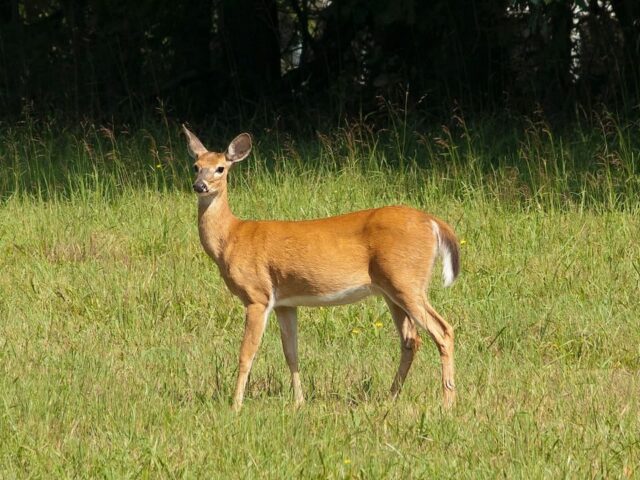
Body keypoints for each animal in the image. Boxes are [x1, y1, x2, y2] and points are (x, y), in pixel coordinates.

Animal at [182, 125, 462, 410]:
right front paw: (299, 402)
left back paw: (448, 402)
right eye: (196, 166)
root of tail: (434, 222)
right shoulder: (285, 302)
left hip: (406, 280)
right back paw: (391, 397)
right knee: (410, 339)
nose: (199, 186)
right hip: (391, 289)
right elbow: (291, 353)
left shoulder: (257, 295)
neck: (231, 237)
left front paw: (235, 405)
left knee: (443, 330)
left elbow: (246, 354)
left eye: (220, 168)